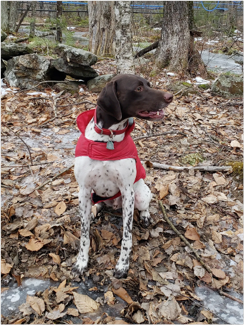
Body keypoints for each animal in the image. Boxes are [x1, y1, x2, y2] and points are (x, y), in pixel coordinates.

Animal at [73, 74, 173, 278]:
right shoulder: (84, 190)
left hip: (141, 194)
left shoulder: (127, 192)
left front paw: (123, 265)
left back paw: (145, 216)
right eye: (138, 88)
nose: (170, 96)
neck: (107, 139)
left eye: (149, 85)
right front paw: (82, 261)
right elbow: (84, 234)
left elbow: (127, 236)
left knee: (144, 206)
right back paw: (97, 209)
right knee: (99, 203)